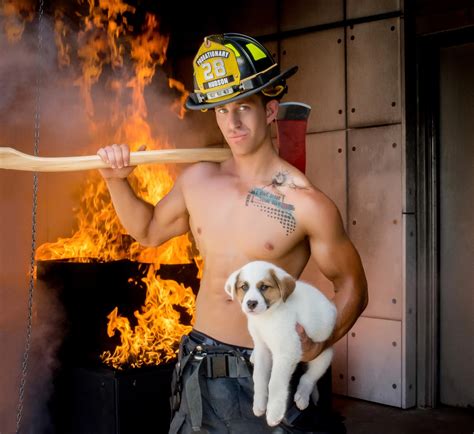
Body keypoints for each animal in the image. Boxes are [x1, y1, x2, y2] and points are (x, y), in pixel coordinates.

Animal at [223, 262, 336, 428]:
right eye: (244, 287)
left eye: (264, 287)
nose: (251, 303)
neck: (267, 317)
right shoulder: (263, 349)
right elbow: (259, 378)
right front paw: (259, 404)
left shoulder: (286, 354)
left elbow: (275, 384)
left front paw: (274, 413)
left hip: (324, 354)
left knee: (309, 378)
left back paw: (303, 396)